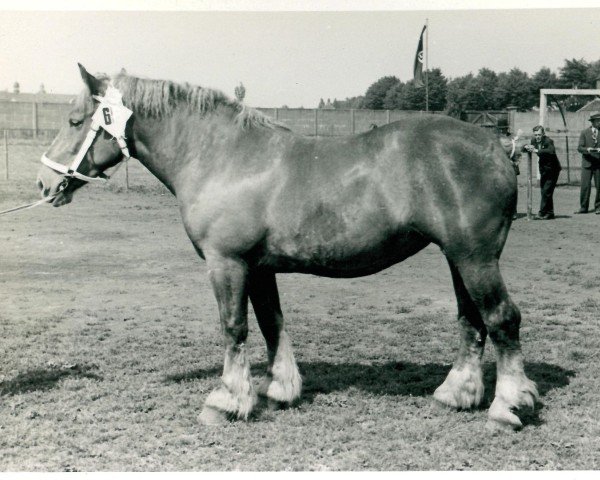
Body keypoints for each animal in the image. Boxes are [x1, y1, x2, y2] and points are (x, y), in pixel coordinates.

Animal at [36, 65, 540, 430]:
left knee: (501, 319)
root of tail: (497, 145)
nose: (44, 183)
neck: (223, 157)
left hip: (475, 258)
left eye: (74, 121)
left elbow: (234, 328)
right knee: (471, 321)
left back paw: (507, 407)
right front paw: (279, 391)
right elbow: (272, 324)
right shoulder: (260, 268)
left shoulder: (227, 264)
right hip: (458, 258)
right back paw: (456, 394)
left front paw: (226, 401)